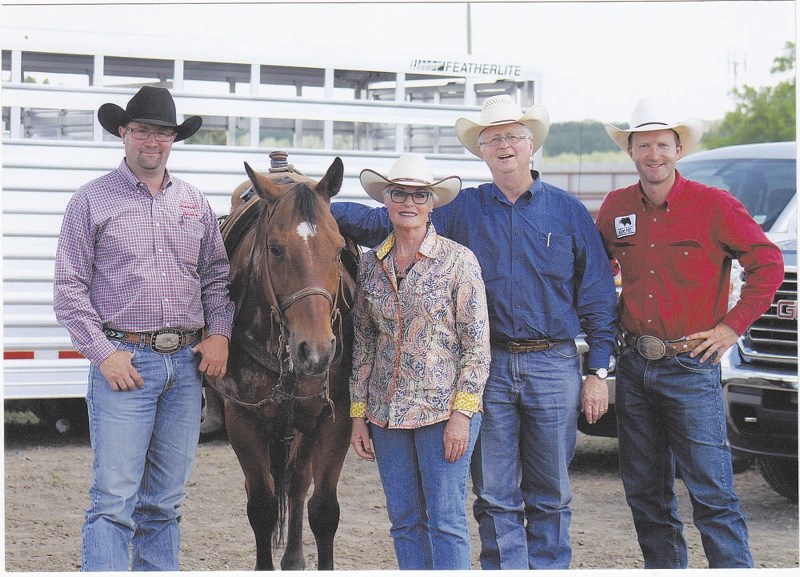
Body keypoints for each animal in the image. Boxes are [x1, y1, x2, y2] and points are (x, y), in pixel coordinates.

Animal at [209, 155, 356, 568]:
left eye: (338, 249)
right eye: (275, 249)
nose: (317, 350)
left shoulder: (334, 419)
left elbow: (323, 510)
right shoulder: (243, 420)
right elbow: (260, 505)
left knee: (296, 484)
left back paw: (293, 556)